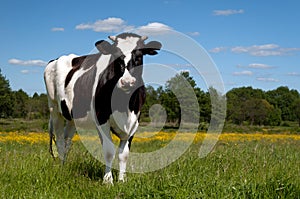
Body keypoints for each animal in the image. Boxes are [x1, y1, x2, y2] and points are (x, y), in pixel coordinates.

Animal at [44, 32, 162, 183]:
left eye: (139, 56)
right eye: (115, 55)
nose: (127, 82)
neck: (124, 105)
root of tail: (56, 59)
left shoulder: (134, 122)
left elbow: (124, 154)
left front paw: (122, 180)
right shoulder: (101, 118)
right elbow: (109, 150)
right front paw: (108, 180)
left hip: (72, 117)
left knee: (67, 141)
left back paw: (65, 165)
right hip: (54, 109)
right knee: (59, 139)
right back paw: (61, 168)